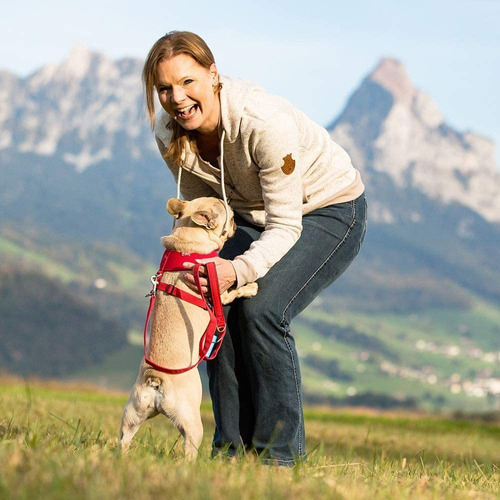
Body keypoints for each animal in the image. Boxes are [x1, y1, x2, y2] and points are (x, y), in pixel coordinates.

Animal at [117, 194, 258, 458]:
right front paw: (250, 287)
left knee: (124, 439)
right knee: (189, 449)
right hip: (192, 422)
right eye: (231, 216)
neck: (187, 242)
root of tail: (155, 379)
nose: (236, 222)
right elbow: (234, 290)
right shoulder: (218, 290)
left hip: (132, 414)